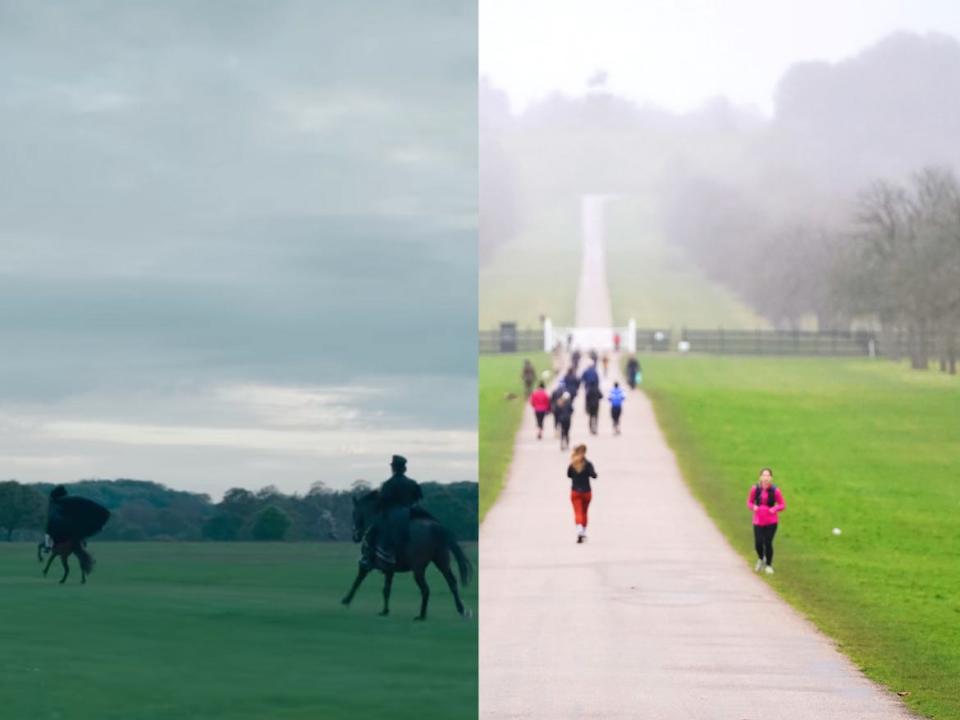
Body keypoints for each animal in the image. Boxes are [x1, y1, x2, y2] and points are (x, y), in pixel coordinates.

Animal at [344, 492, 474, 620]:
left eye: (354, 513)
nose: (355, 537)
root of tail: (437, 528)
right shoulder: (389, 570)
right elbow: (386, 589)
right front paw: (385, 611)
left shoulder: (367, 565)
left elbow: (357, 581)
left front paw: (346, 600)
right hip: (442, 562)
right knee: (452, 583)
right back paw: (460, 609)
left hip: (419, 570)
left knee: (426, 589)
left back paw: (422, 615)